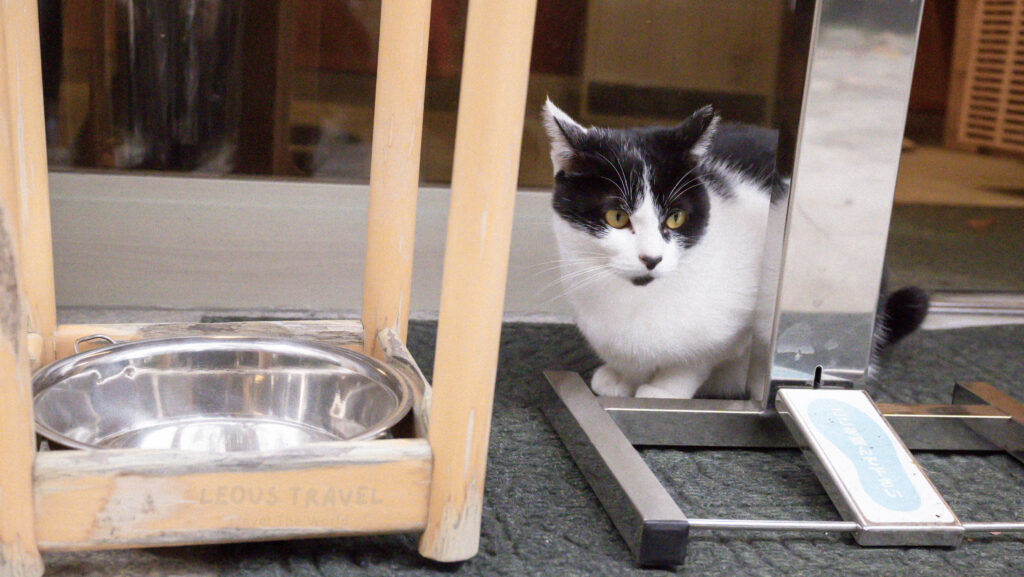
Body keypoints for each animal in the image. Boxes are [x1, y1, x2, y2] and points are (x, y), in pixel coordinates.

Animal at [544, 100, 929, 397]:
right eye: (617, 216)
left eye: (675, 218)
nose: (651, 258)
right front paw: (620, 377)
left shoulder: (747, 315)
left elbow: (698, 359)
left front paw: (664, 388)